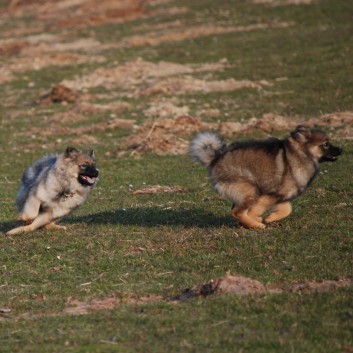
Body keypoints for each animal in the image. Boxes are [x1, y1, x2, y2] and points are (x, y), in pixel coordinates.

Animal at [190, 126, 340, 228]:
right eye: (326, 144)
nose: (341, 149)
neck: (300, 155)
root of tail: (215, 159)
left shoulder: (281, 196)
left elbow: (287, 210)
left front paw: (270, 218)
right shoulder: (268, 196)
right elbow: (256, 210)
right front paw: (259, 220)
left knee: (236, 210)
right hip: (250, 190)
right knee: (238, 212)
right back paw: (256, 225)